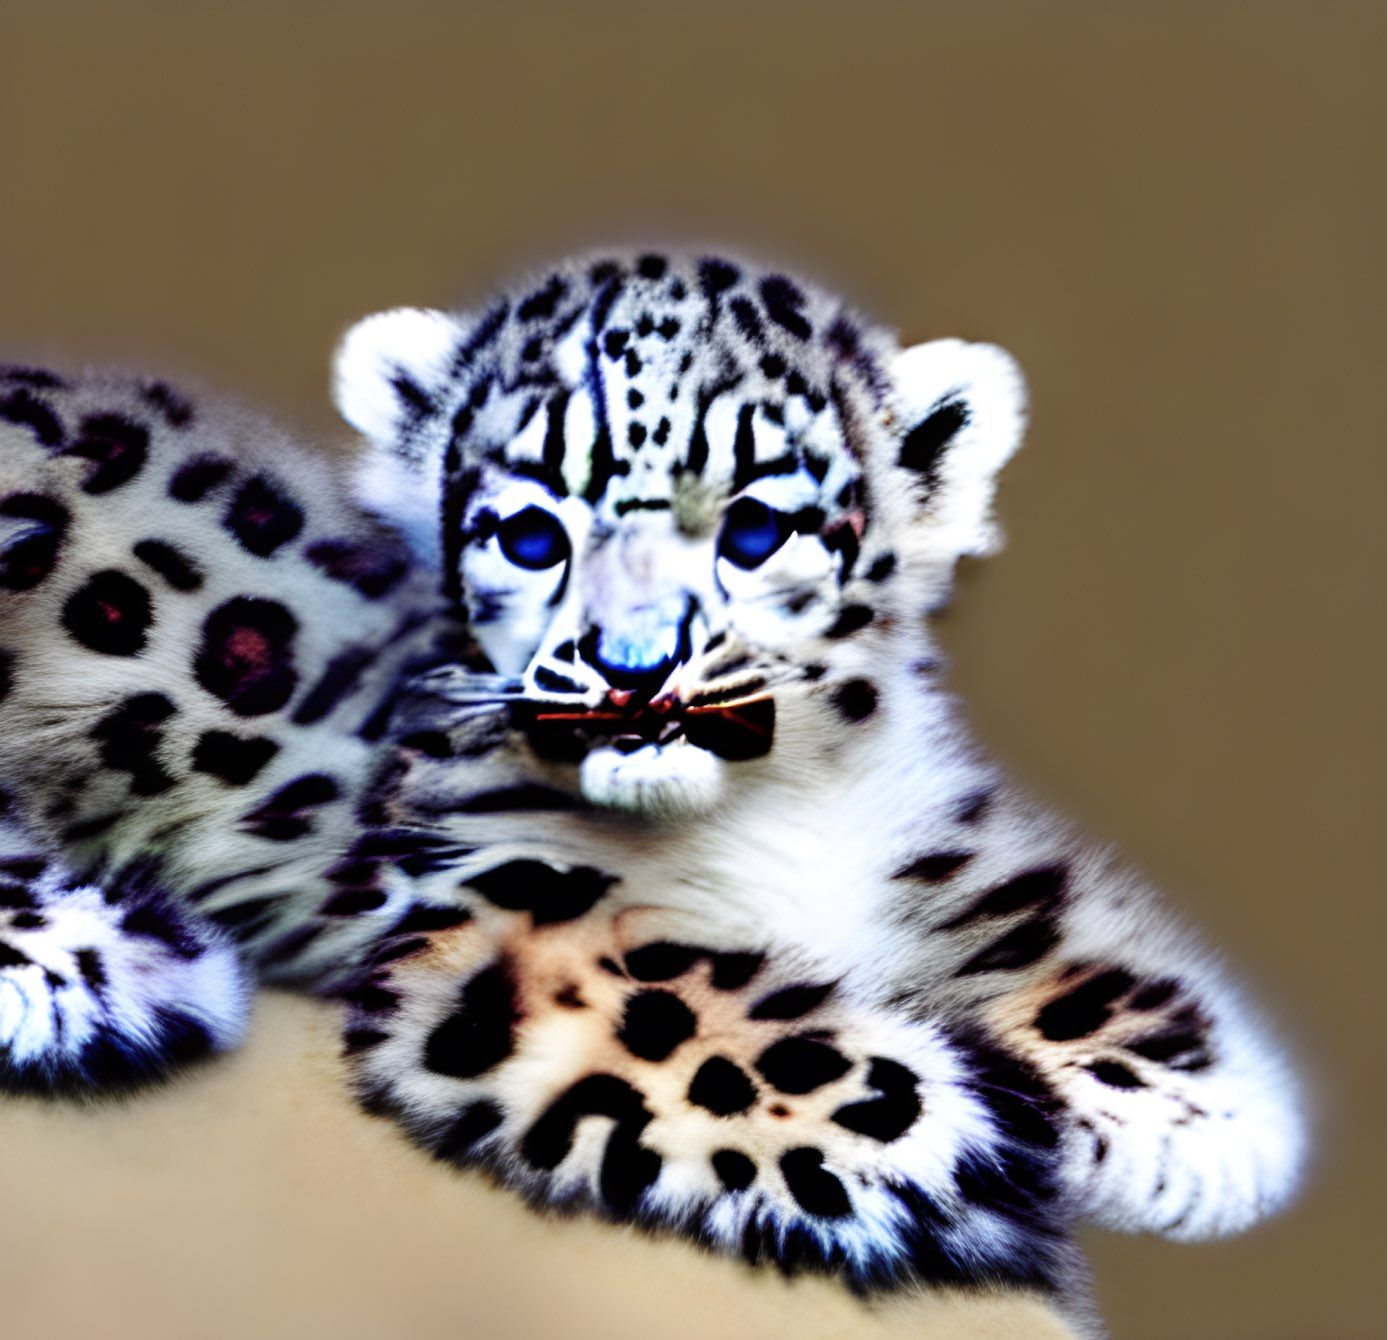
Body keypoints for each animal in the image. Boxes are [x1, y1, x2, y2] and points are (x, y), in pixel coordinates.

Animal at [0, 250, 1305, 1334]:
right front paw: (992, 1136)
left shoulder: (931, 833)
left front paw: (1188, 1125)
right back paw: (106, 969)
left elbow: (1046, 921)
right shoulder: (514, 921)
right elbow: (749, 1037)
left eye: (757, 527)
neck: (764, 812)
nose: (633, 668)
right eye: (530, 535)